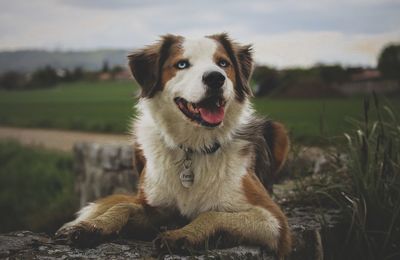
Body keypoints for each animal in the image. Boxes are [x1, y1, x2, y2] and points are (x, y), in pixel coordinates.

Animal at [55, 33, 290, 258]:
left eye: (223, 63)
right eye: (182, 64)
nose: (216, 78)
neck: (193, 148)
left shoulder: (274, 221)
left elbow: (212, 214)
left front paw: (183, 235)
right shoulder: (159, 208)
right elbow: (124, 206)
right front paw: (92, 226)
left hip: (280, 131)